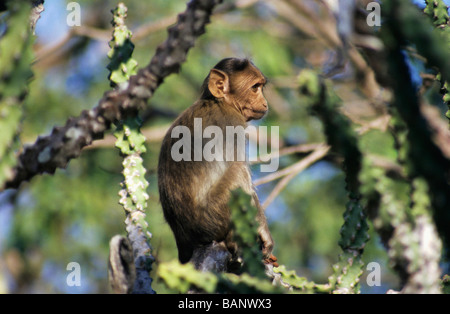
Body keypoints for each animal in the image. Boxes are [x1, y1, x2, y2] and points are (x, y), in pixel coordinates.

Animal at [158, 58, 278, 270]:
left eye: (260, 87)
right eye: (255, 88)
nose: (265, 103)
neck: (219, 102)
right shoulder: (232, 123)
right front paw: (264, 232)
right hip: (213, 218)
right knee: (238, 171)